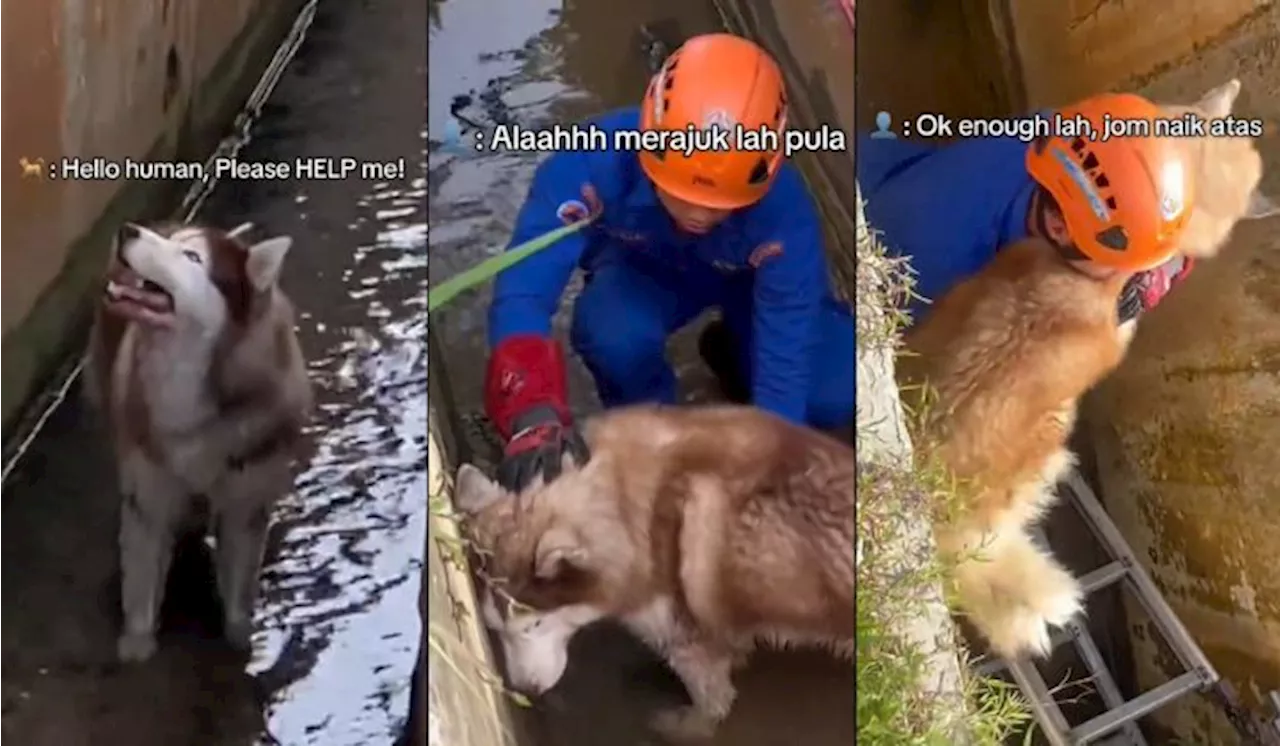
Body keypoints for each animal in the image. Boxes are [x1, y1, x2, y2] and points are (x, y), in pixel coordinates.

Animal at [85, 220, 312, 660]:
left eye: (193, 257)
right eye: (174, 245)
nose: (128, 229)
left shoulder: (246, 498)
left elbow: (239, 579)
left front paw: (241, 636)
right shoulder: (148, 492)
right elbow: (141, 572)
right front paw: (137, 643)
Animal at [450, 406, 849, 742]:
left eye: (533, 624)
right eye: (494, 628)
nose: (524, 690)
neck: (623, 508)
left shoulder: (684, 639)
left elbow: (710, 698)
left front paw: (691, 726)